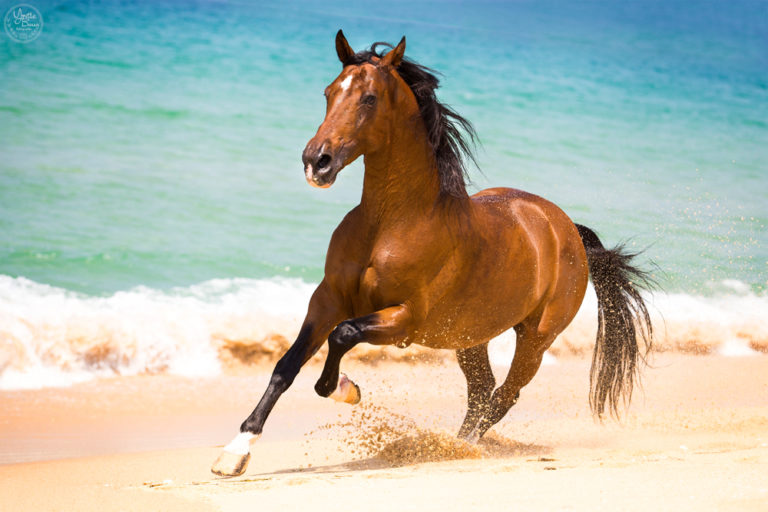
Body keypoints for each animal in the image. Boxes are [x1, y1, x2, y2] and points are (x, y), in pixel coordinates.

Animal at [212, 32, 656, 478]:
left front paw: (347, 389)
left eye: (369, 98)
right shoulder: (327, 300)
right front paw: (235, 452)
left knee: (502, 396)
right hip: (471, 337)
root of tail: (566, 228)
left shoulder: (405, 318)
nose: (316, 162)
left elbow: (343, 336)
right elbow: (286, 366)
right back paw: (450, 445)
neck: (390, 223)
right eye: (328, 92)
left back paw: (459, 448)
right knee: (481, 392)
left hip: (536, 339)